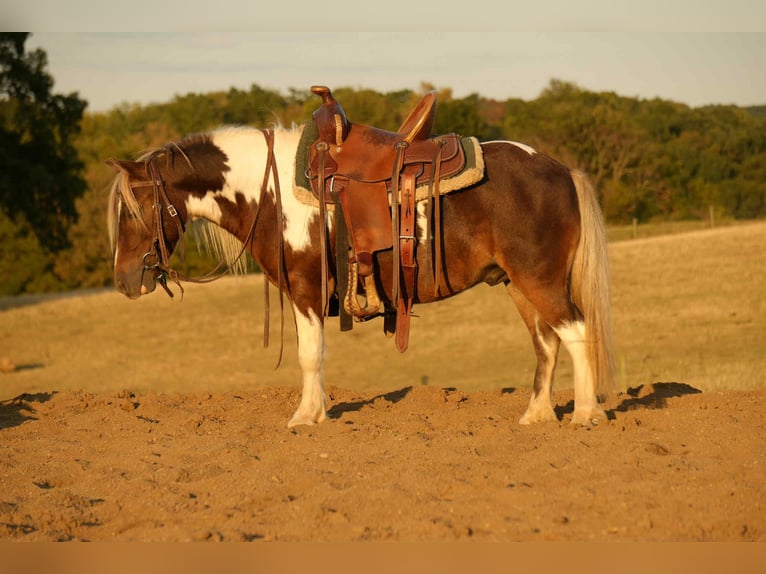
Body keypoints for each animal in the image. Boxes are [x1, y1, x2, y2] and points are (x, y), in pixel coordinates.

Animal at [106, 119, 615, 428]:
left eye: (138, 207)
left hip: (539, 279)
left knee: (576, 331)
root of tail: (561, 170)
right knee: (546, 342)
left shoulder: (307, 290)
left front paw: (305, 418)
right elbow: (312, 355)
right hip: (517, 284)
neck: (271, 193)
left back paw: (585, 414)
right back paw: (537, 415)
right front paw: (314, 413)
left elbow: (310, 355)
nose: (126, 281)